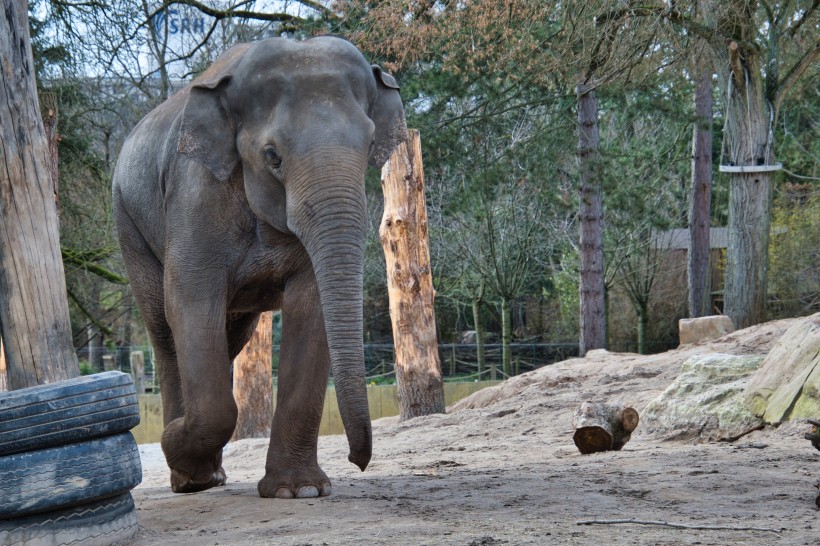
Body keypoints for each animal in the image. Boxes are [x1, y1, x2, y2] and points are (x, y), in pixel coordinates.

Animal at [113, 36, 408, 498]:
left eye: (369, 145)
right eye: (272, 156)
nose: (357, 461)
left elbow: (311, 307)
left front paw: (299, 491)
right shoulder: (194, 194)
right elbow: (190, 302)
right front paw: (176, 444)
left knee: (228, 337)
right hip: (130, 225)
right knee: (164, 332)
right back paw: (190, 479)